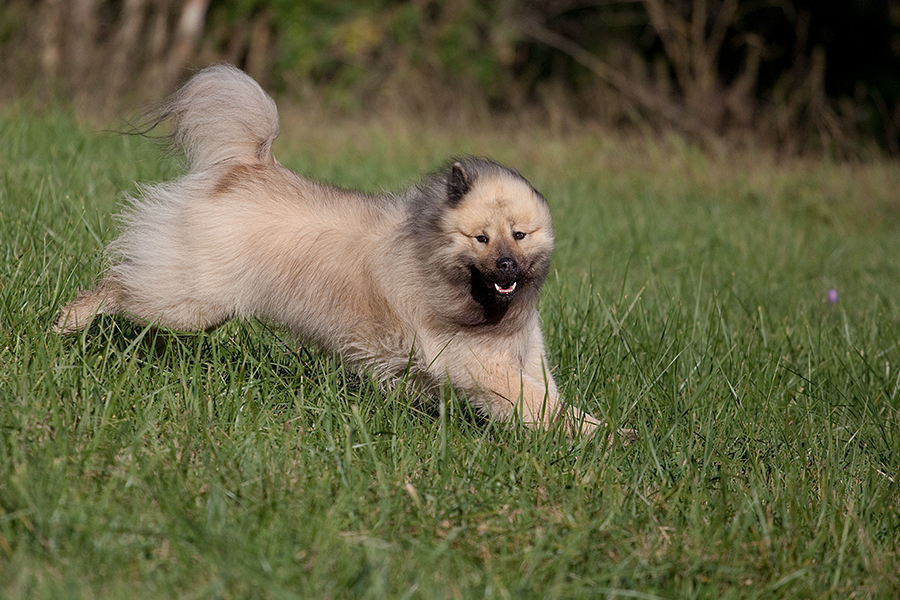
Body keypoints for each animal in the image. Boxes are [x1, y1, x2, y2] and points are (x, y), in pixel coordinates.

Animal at [54, 65, 612, 438]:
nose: (506, 266)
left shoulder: (525, 356)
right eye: (481, 238)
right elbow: (541, 407)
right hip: (187, 301)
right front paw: (602, 436)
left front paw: (594, 430)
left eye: (519, 235)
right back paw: (67, 322)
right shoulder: (483, 367)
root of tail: (245, 166)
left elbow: (549, 397)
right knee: (116, 286)